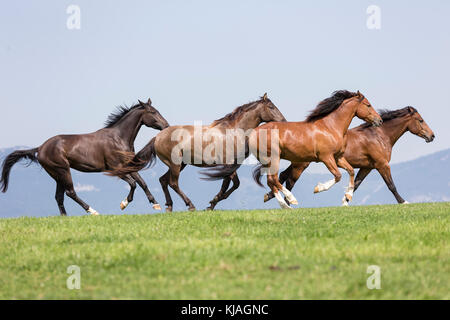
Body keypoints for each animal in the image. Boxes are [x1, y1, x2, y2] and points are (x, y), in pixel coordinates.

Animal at [0, 99, 169, 216]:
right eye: (152, 112)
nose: (166, 126)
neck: (118, 138)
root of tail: (40, 148)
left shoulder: (128, 165)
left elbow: (142, 182)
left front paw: (156, 204)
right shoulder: (115, 168)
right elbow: (134, 183)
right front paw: (123, 204)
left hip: (57, 175)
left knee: (59, 196)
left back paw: (65, 217)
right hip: (63, 170)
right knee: (70, 193)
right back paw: (92, 211)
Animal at [107, 94, 286, 211]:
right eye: (271, 107)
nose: (283, 121)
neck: (233, 131)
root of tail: (157, 136)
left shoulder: (229, 166)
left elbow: (230, 184)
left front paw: (212, 203)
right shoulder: (228, 164)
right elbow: (232, 184)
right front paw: (212, 203)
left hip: (180, 164)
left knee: (163, 180)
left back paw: (169, 206)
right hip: (175, 164)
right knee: (172, 182)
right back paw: (190, 205)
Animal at [246, 90, 384, 209]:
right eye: (368, 105)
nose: (380, 120)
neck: (330, 127)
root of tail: (254, 133)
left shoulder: (338, 157)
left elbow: (350, 171)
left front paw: (348, 197)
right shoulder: (326, 157)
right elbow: (338, 175)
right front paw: (318, 188)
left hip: (268, 160)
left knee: (271, 181)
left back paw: (285, 206)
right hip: (274, 157)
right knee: (274, 179)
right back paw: (291, 199)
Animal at [262, 105, 434, 205]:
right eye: (420, 120)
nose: (432, 136)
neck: (379, 136)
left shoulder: (367, 167)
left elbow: (356, 184)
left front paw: (345, 201)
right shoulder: (382, 165)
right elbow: (391, 185)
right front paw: (404, 202)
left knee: (282, 177)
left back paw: (272, 197)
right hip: (301, 164)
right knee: (288, 180)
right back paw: (287, 201)